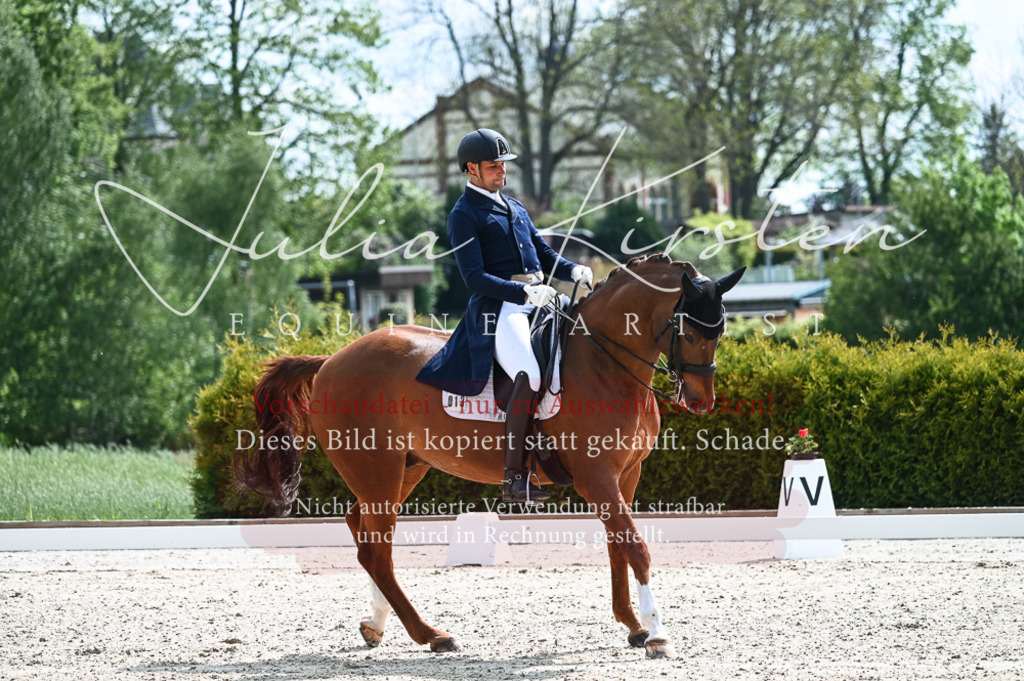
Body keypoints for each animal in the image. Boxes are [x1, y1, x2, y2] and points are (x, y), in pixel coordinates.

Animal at [235, 253, 744, 658]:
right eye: (689, 331)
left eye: (720, 331)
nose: (700, 401)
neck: (603, 363)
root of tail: (330, 360)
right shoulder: (597, 477)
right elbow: (636, 546)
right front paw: (658, 635)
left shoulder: (626, 475)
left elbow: (617, 545)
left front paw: (635, 627)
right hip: (376, 470)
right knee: (376, 550)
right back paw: (432, 635)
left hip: (402, 470)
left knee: (367, 536)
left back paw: (377, 625)